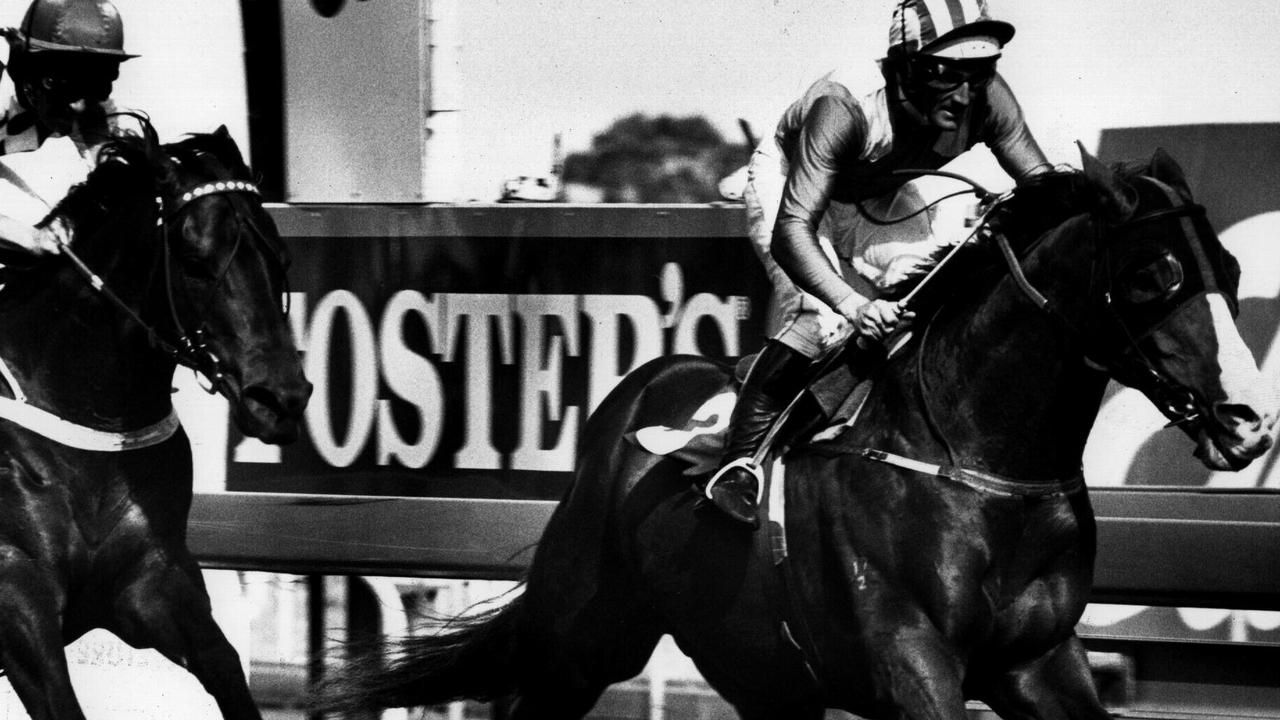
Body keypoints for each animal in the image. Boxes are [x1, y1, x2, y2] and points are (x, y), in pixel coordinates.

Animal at [0, 124, 309, 717]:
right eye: (194, 261)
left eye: (281, 258)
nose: (281, 398)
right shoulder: (18, 590)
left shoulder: (151, 580)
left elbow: (226, 669)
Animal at [317, 147, 1269, 717]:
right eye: (1153, 275)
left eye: (1229, 268)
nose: (1251, 421)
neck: (973, 462)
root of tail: (640, 392)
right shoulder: (910, 660)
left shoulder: (1039, 660)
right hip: (582, 639)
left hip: (755, 665)